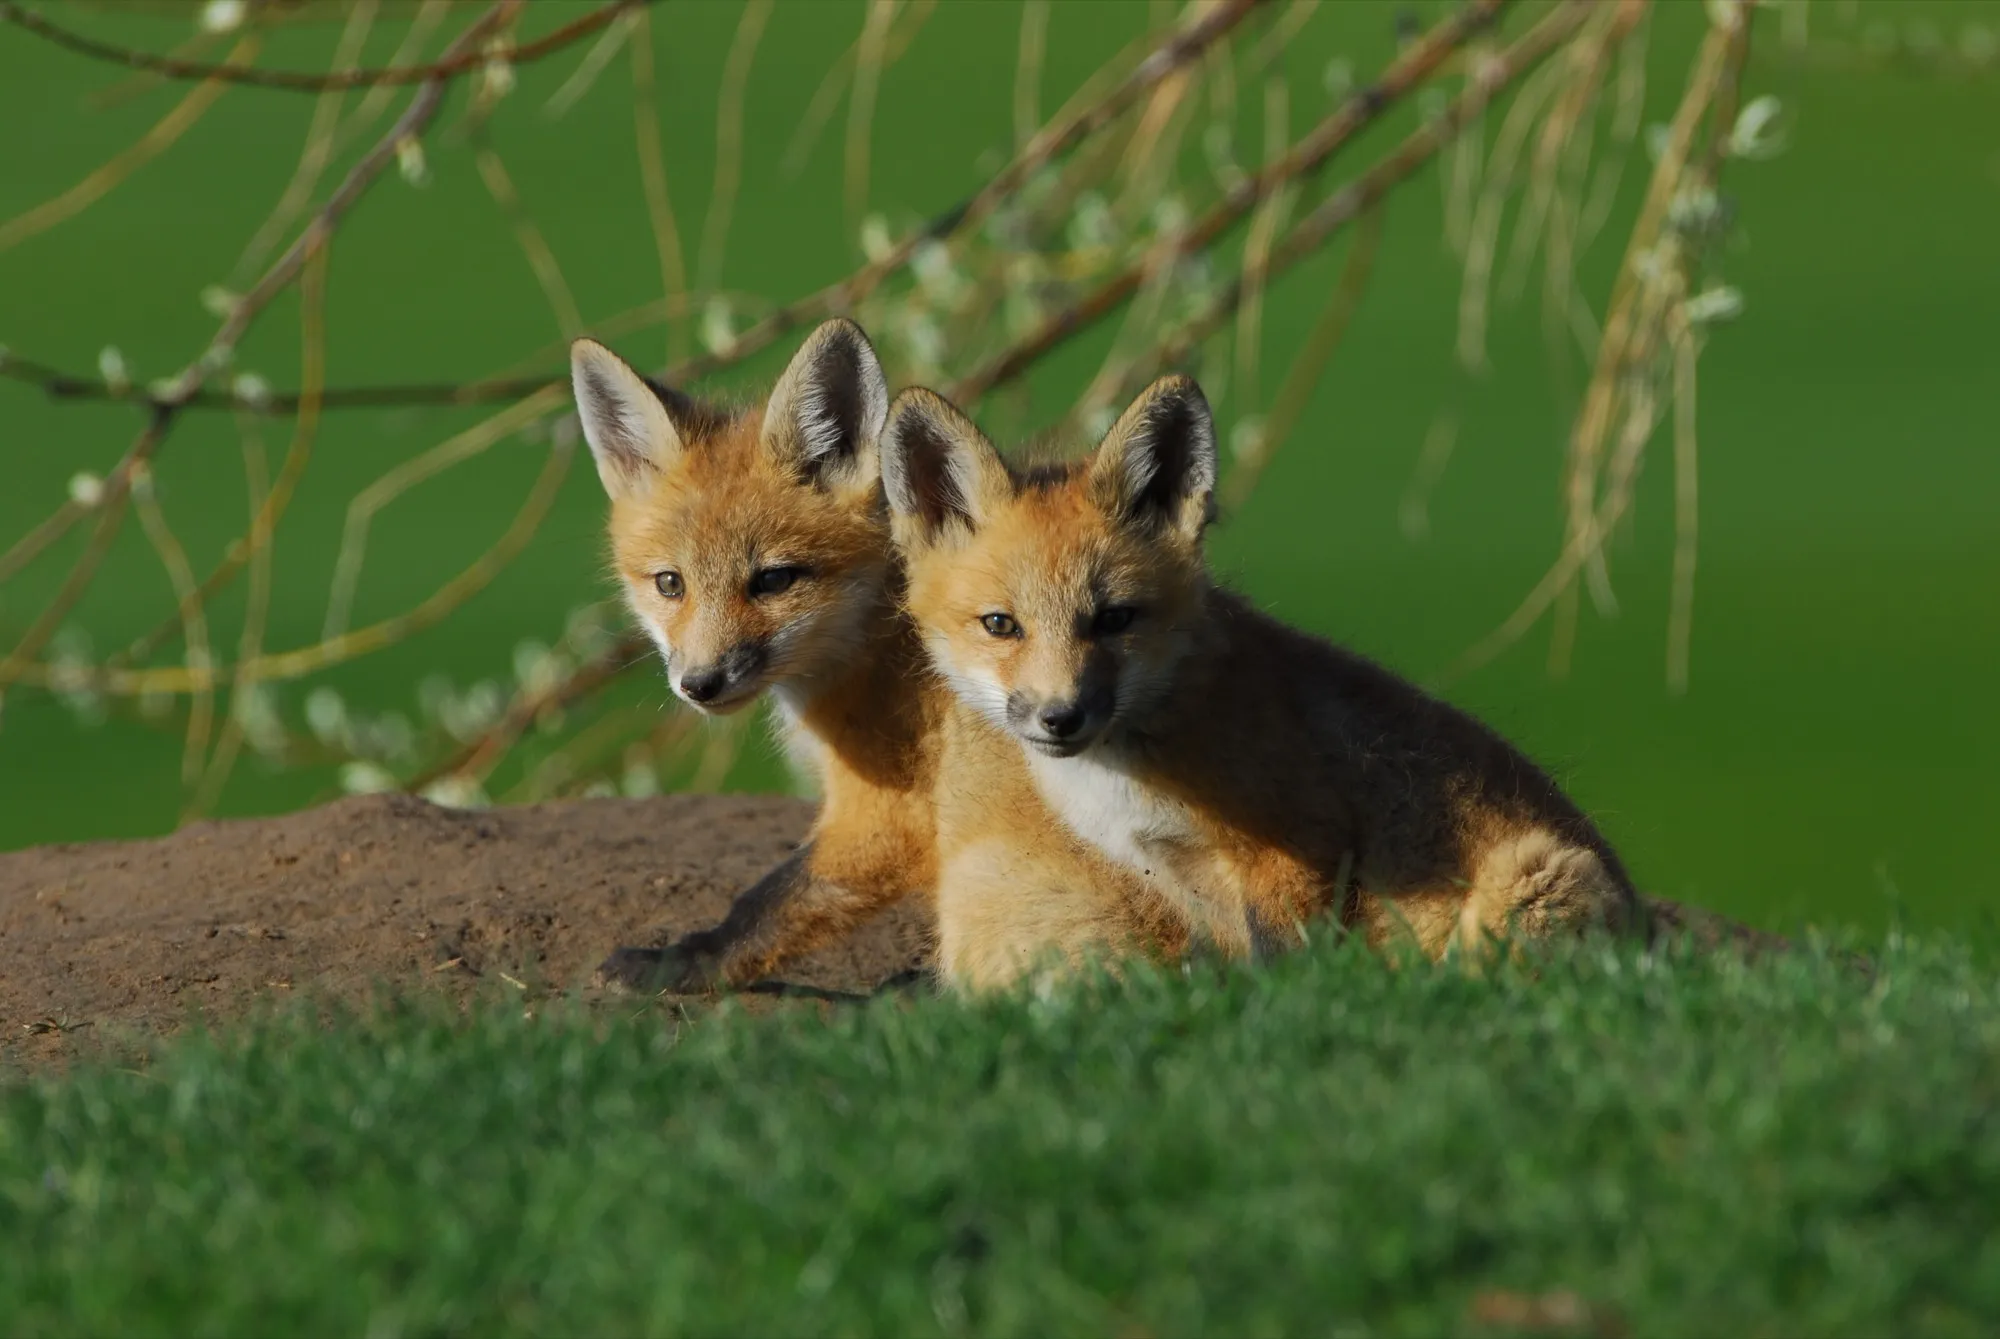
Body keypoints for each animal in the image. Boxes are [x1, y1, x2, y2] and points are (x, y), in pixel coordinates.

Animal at [568, 320, 1186, 993]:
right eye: (670, 584)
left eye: (773, 581)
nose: (700, 684)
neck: (880, 633)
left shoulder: (891, 812)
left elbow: (769, 901)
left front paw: (682, 964)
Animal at [877, 374, 1650, 962]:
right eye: (1000, 625)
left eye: (1115, 619)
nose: (1059, 716)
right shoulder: (1179, 878)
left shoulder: (1298, 851)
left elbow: (1284, 973)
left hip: (1531, 887)